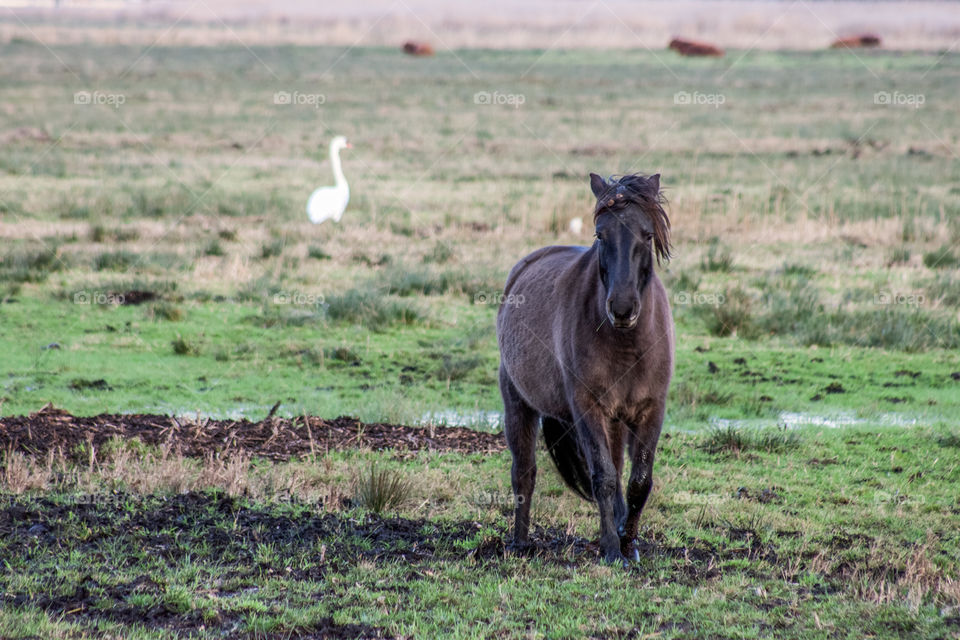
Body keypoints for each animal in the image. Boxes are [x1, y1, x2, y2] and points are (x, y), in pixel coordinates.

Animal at [498, 171, 672, 564]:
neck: (626, 344)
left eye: (647, 234)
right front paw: (610, 549)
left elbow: (638, 481)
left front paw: (628, 543)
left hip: (616, 421)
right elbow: (603, 477)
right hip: (518, 403)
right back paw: (519, 543)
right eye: (600, 235)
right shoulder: (588, 408)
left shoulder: (650, 410)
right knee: (524, 473)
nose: (622, 308)